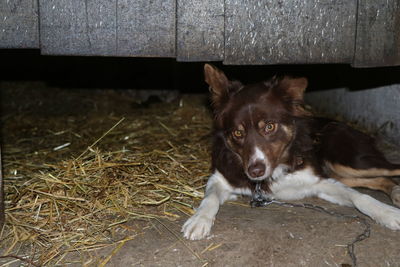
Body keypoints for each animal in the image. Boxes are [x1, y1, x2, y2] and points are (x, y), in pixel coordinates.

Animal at [183, 63, 400, 241]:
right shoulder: (220, 179)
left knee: (390, 171)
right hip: (343, 172)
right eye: (238, 133)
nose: (255, 171)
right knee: (381, 179)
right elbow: (210, 198)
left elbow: (361, 197)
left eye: (269, 127)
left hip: (350, 162)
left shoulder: (320, 181)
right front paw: (199, 219)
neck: (276, 168)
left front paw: (387, 213)